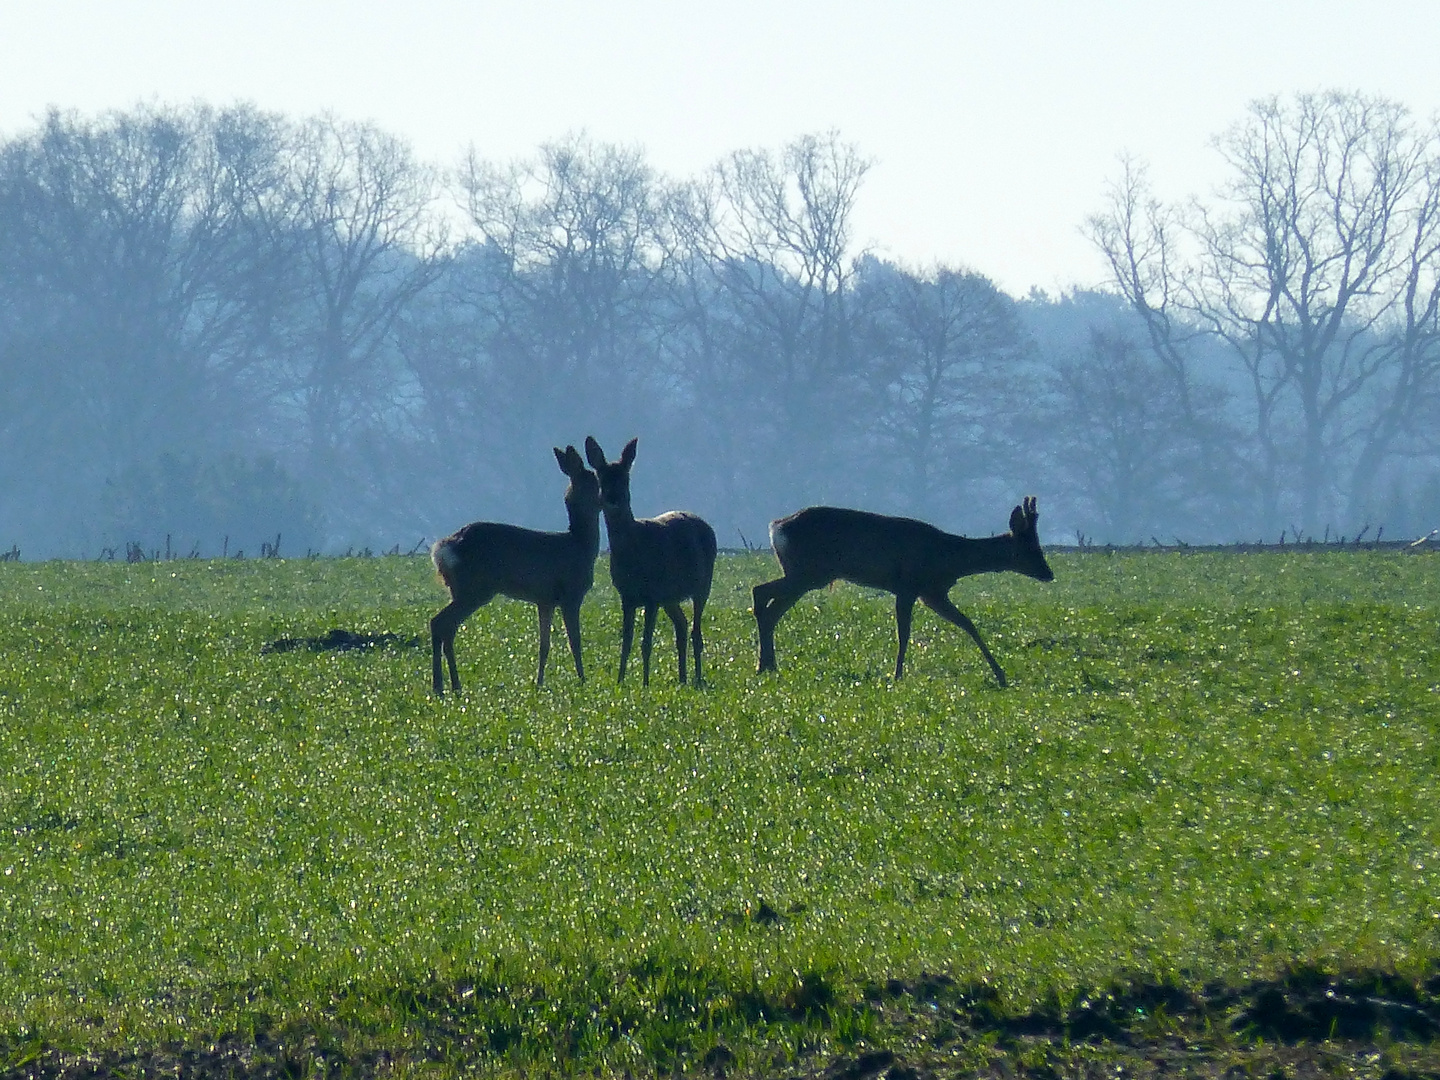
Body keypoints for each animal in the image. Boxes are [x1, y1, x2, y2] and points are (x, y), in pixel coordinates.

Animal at [432, 446, 601, 694]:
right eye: (596, 481)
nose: (610, 499)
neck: (580, 545)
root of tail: (441, 549)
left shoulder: (545, 600)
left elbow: (544, 644)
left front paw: (539, 683)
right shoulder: (571, 594)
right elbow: (575, 641)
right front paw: (582, 680)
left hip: (461, 589)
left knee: (446, 627)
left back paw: (450, 686)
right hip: (474, 589)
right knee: (440, 623)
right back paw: (443, 687)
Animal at [584, 434, 720, 688]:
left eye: (625, 478)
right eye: (601, 478)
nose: (613, 498)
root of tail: (707, 526)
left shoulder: (653, 595)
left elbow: (646, 642)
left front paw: (645, 683)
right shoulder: (627, 596)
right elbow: (626, 641)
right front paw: (620, 681)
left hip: (702, 585)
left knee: (696, 631)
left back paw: (697, 678)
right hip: (671, 597)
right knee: (682, 625)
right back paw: (682, 678)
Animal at [754, 498, 1059, 685]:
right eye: (1031, 548)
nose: (1049, 573)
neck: (948, 559)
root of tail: (776, 527)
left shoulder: (933, 593)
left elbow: (967, 624)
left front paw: (1001, 675)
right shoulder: (909, 586)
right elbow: (904, 633)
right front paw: (897, 675)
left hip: (805, 574)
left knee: (770, 607)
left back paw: (768, 665)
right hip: (809, 572)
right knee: (760, 593)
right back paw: (765, 664)